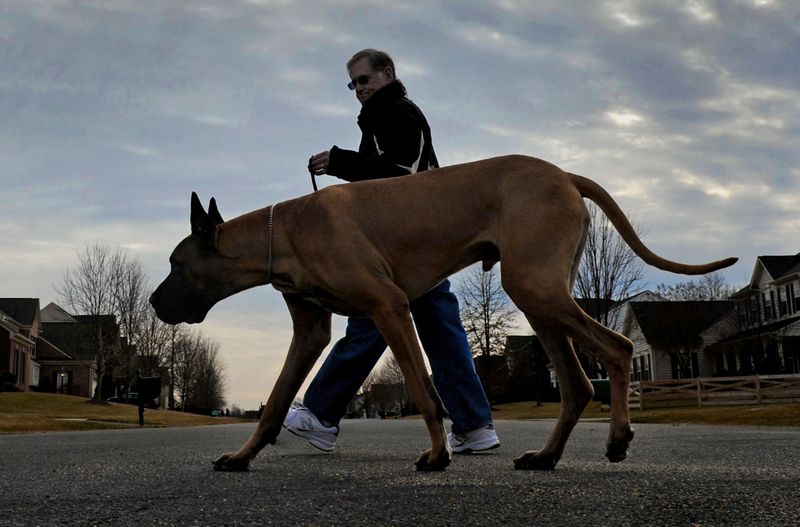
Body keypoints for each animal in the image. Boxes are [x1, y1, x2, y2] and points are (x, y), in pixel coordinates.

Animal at [148, 155, 736, 472]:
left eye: (176, 263)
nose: (154, 303)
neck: (284, 233)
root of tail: (566, 174)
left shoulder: (388, 306)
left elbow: (424, 391)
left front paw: (436, 455)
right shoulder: (310, 330)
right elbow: (272, 403)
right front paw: (243, 456)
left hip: (536, 289)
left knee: (616, 347)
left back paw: (616, 439)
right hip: (539, 295)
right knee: (574, 383)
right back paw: (546, 456)